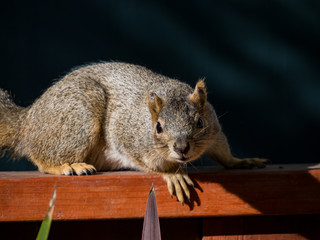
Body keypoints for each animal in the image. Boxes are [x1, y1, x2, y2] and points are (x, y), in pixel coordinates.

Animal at [0, 62, 266, 204]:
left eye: (200, 122)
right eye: (158, 127)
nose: (181, 148)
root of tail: (28, 120)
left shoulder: (214, 130)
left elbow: (223, 152)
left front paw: (241, 161)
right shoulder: (127, 137)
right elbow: (148, 163)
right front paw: (173, 174)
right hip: (78, 117)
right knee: (41, 158)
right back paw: (69, 166)